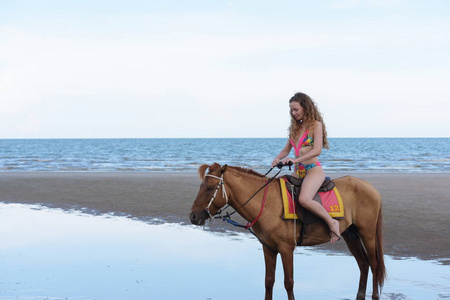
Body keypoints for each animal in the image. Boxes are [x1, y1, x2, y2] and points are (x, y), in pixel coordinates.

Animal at [188, 163, 384, 298]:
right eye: (200, 186)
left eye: (210, 188)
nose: (193, 216)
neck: (267, 202)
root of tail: (372, 189)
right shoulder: (268, 248)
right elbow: (269, 281)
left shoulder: (286, 248)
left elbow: (288, 282)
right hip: (351, 235)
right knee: (363, 264)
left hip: (367, 234)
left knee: (374, 264)